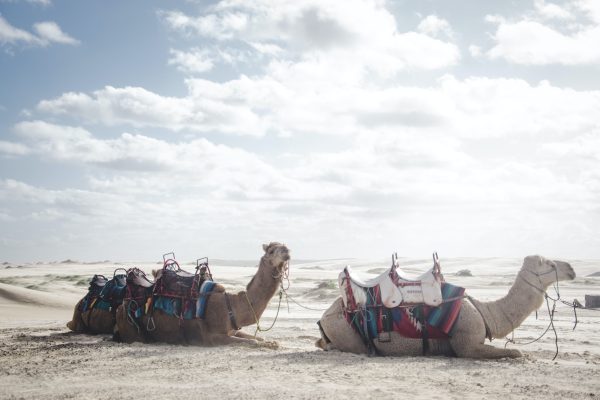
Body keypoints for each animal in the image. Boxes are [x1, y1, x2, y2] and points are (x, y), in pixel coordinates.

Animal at [115, 242, 290, 346]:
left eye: (284, 246)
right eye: (271, 250)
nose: (287, 251)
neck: (231, 306)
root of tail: (120, 307)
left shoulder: (234, 330)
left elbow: (257, 337)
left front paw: (272, 342)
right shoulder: (212, 337)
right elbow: (253, 342)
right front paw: (270, 345)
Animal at [316, 255, 576, 358]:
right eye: (550, 264)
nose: (571, 269)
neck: (485, 313)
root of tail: (324, 315)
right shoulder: (466, 345)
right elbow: (516, 352)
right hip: (346, 331)